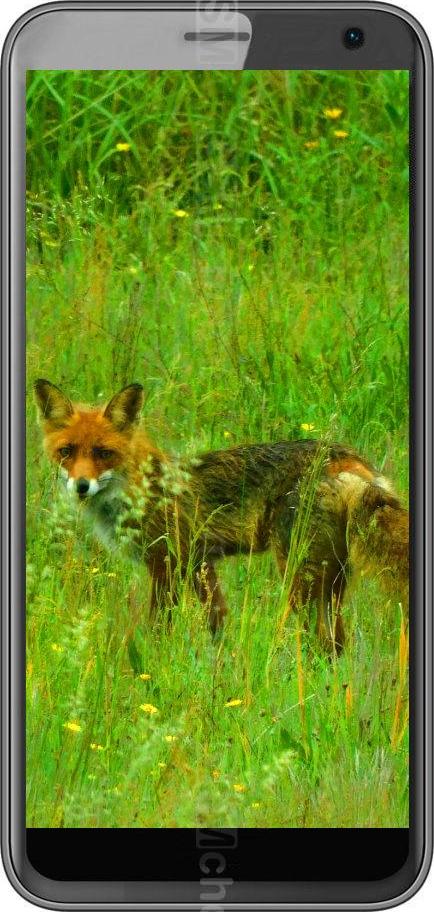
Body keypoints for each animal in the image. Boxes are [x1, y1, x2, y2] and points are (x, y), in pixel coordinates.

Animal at [34, 378, 409, 653]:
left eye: (103, 453)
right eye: (66, 451)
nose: (81, 486)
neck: (142, 489)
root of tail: (346, 457)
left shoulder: (166, 563)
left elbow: (160, 627)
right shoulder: (200, 562)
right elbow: (217, 620)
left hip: (299, 574)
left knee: (322, 641)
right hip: (331, 578)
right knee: (337, 643)